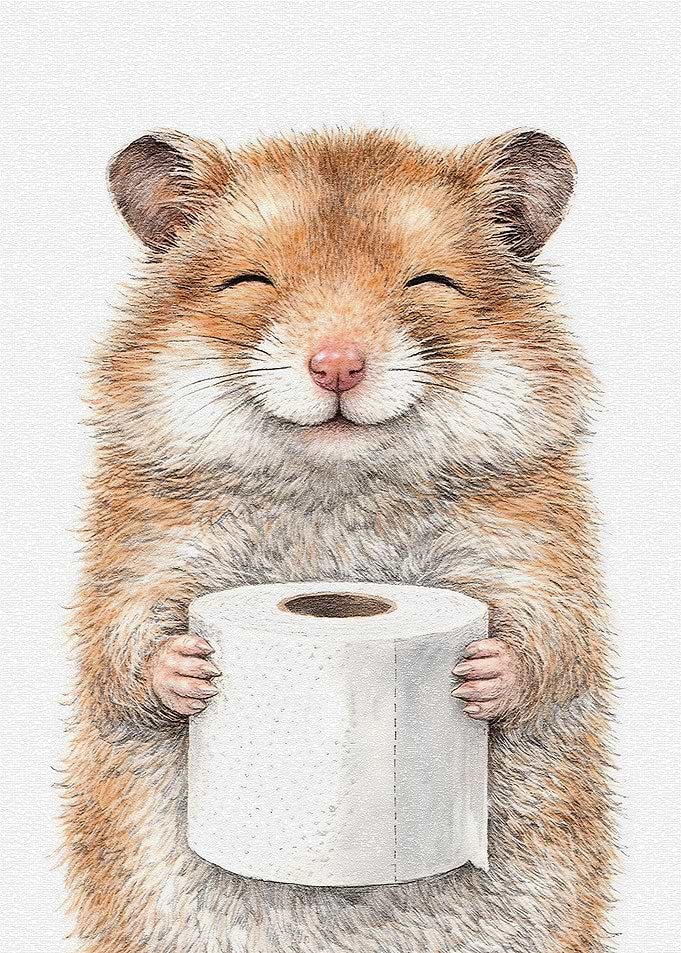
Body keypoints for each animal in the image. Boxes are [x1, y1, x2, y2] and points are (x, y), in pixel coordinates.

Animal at [62, 127, 616, 953]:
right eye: (248, 280)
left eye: (430, 281)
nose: (337, 366)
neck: (336, 487)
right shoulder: (138, 556)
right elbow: (118, 646)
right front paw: (192, 668)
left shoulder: (538, 556)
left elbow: (556, 643)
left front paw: (479, 675)